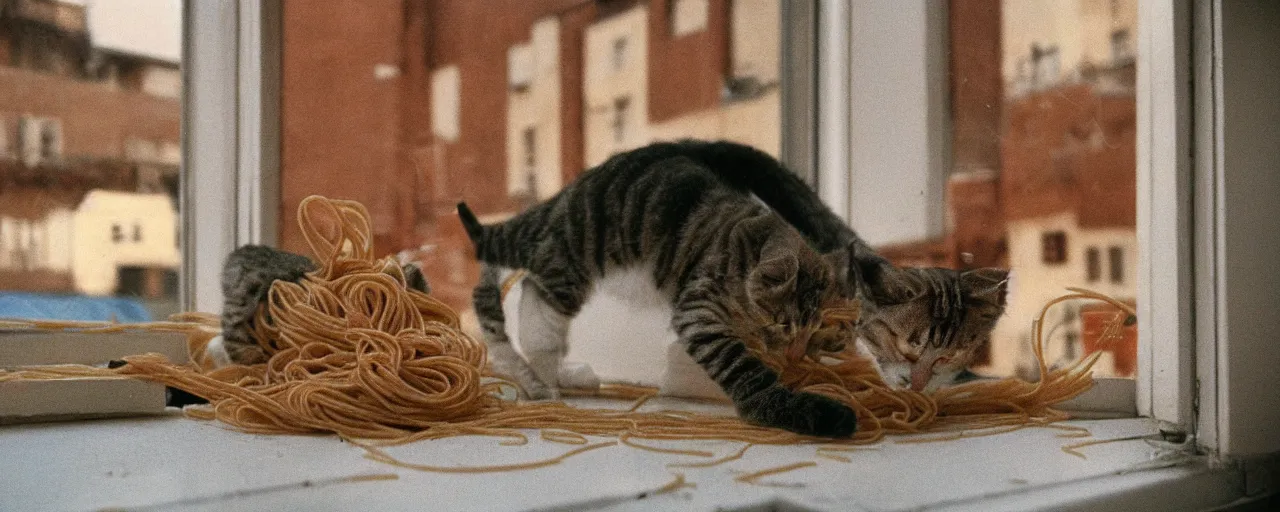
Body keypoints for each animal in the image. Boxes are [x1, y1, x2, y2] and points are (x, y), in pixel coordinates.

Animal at [460, 151, 860, 435]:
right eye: (782, 324)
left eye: (812, 329)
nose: (794, 353)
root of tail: (569, 192)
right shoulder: (699, 308)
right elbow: (743, 366)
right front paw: (797, 410)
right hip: (570, 260)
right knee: (521, 294)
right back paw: (540, 378)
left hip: (561, 268)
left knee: (531, 290)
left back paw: (552, 375)